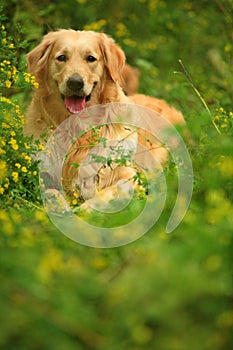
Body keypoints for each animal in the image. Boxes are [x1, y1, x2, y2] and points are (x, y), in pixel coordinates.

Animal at [25, 29, 185, 205]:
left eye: (90, 58)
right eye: (61, 57)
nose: (75, 83)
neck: (78, 127)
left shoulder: (131, 177)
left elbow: (103, 196)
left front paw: (82, 210)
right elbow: (51, 193)